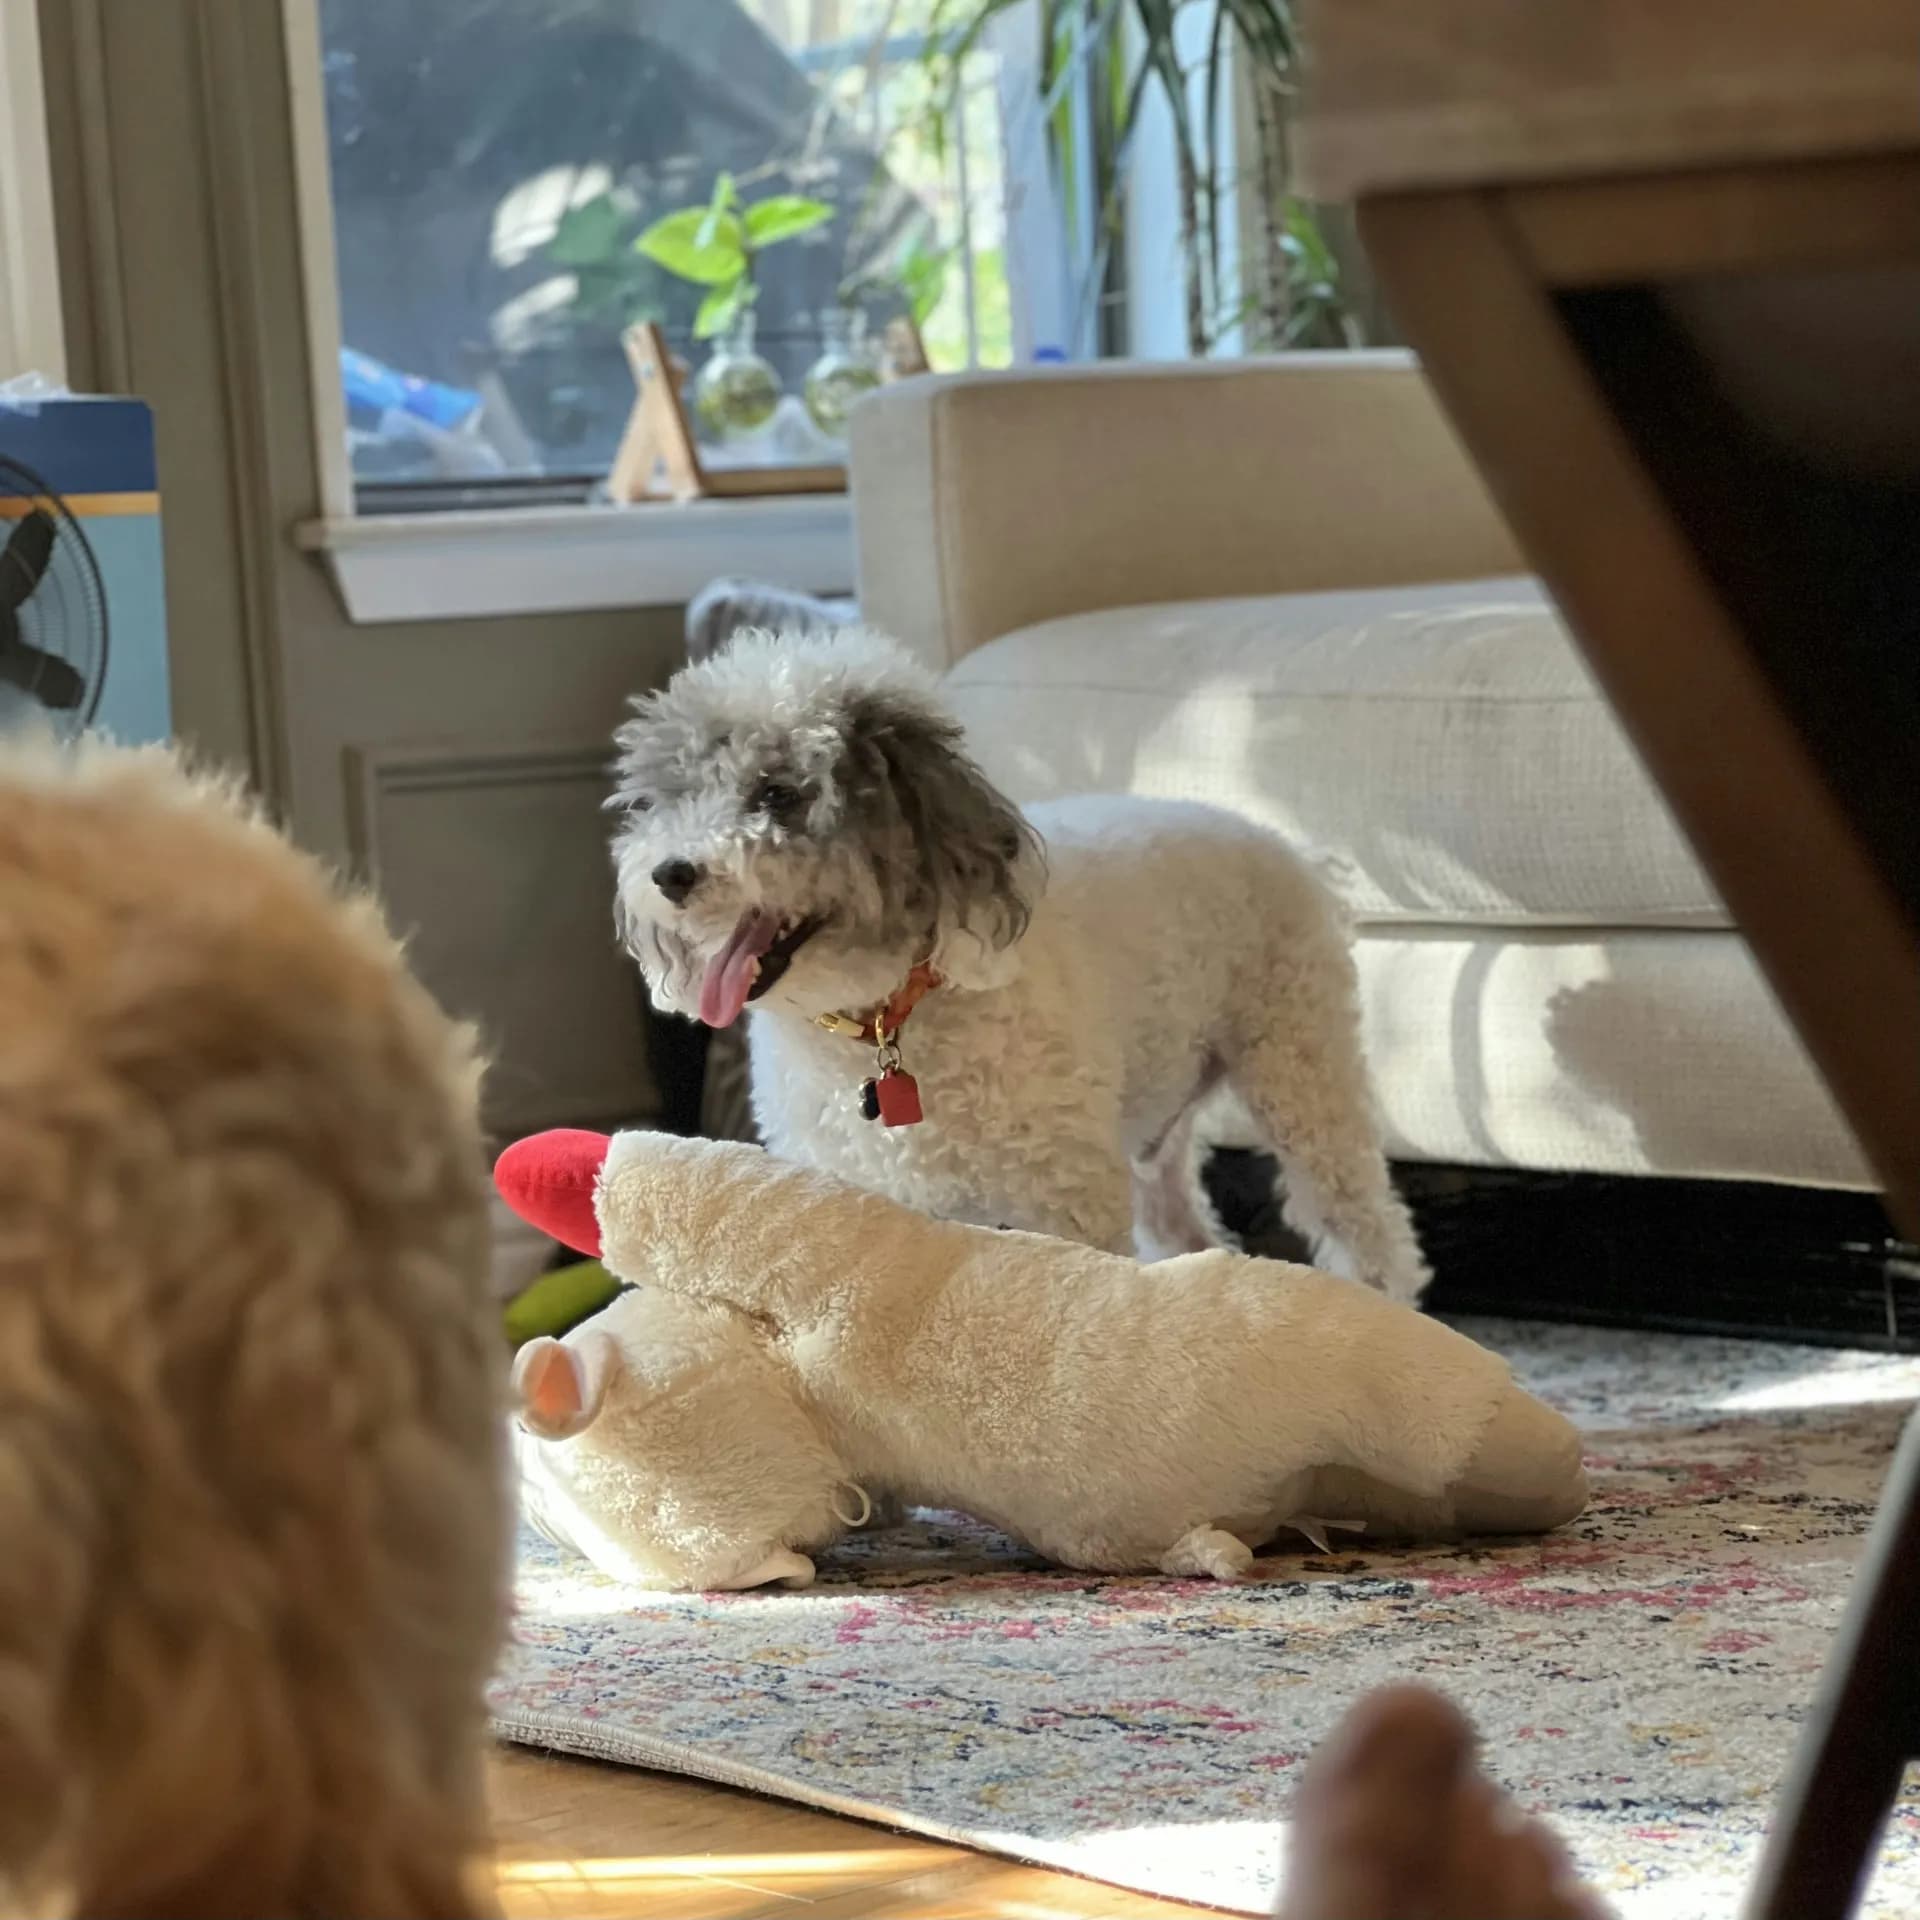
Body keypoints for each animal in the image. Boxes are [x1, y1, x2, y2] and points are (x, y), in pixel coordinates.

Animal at [610, 629, 1428, 1305]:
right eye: (662, 801)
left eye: (777, 793)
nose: (670, 874)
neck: (885, 1017)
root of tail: (1281, 841)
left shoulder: (1062, 1198)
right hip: (1158, 1119)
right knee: (1184, 1231)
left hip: (1299, 1063)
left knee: (1365, 1225)